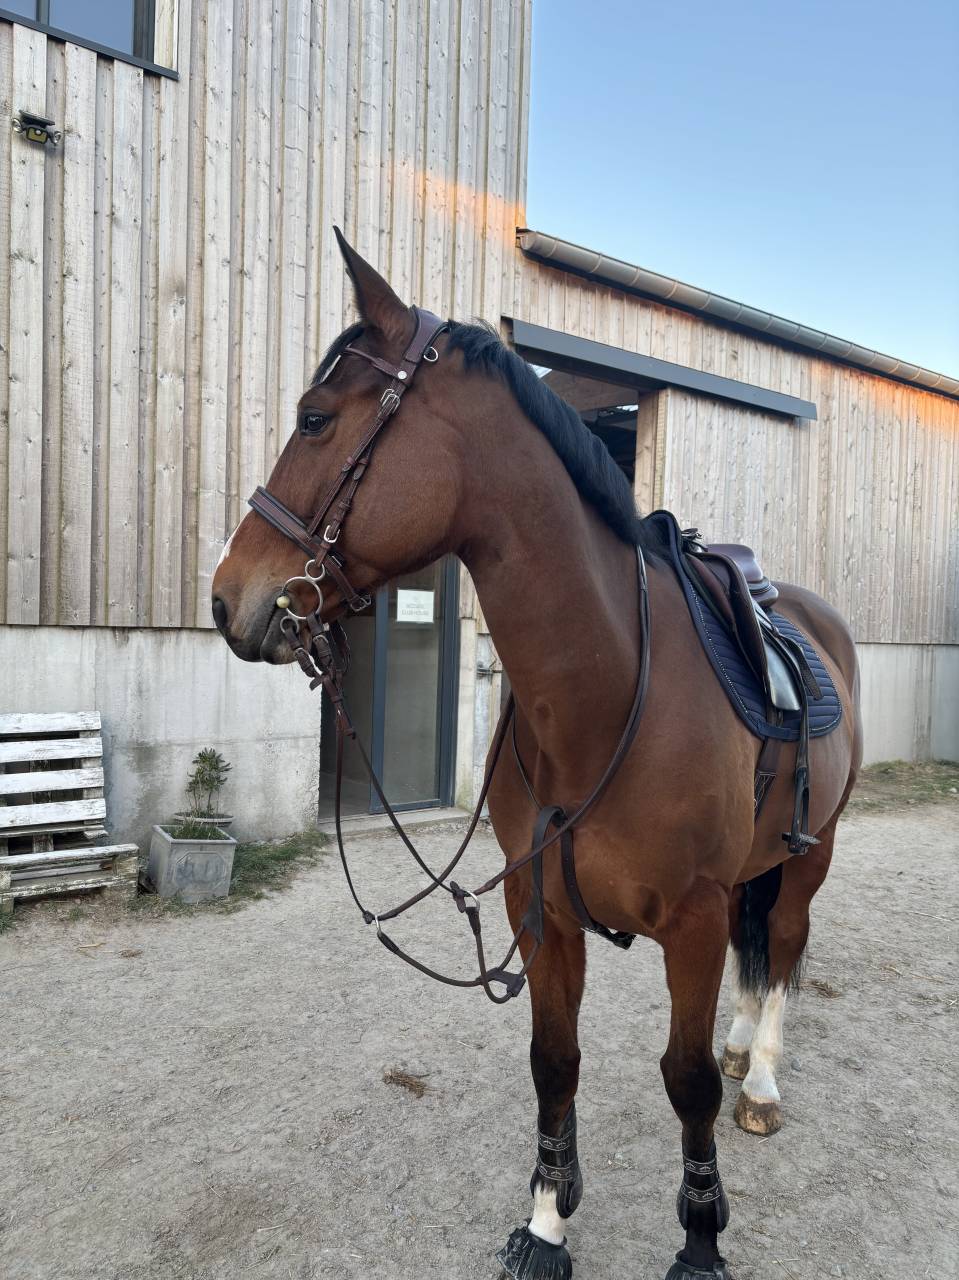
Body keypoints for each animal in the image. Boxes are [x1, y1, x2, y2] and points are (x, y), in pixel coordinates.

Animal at [211, 231, 862, 1280]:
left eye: (314, 419)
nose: (229, 597)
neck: (603, 694)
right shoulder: (541, 907)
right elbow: (554, 1063)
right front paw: (548, 1222)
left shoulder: (690, 921)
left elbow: (685, 1083)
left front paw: (699, 1239)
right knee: (756, 955)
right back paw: (739, 1049)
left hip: (810, 856)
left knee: (785, 951)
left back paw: (759, 1079)